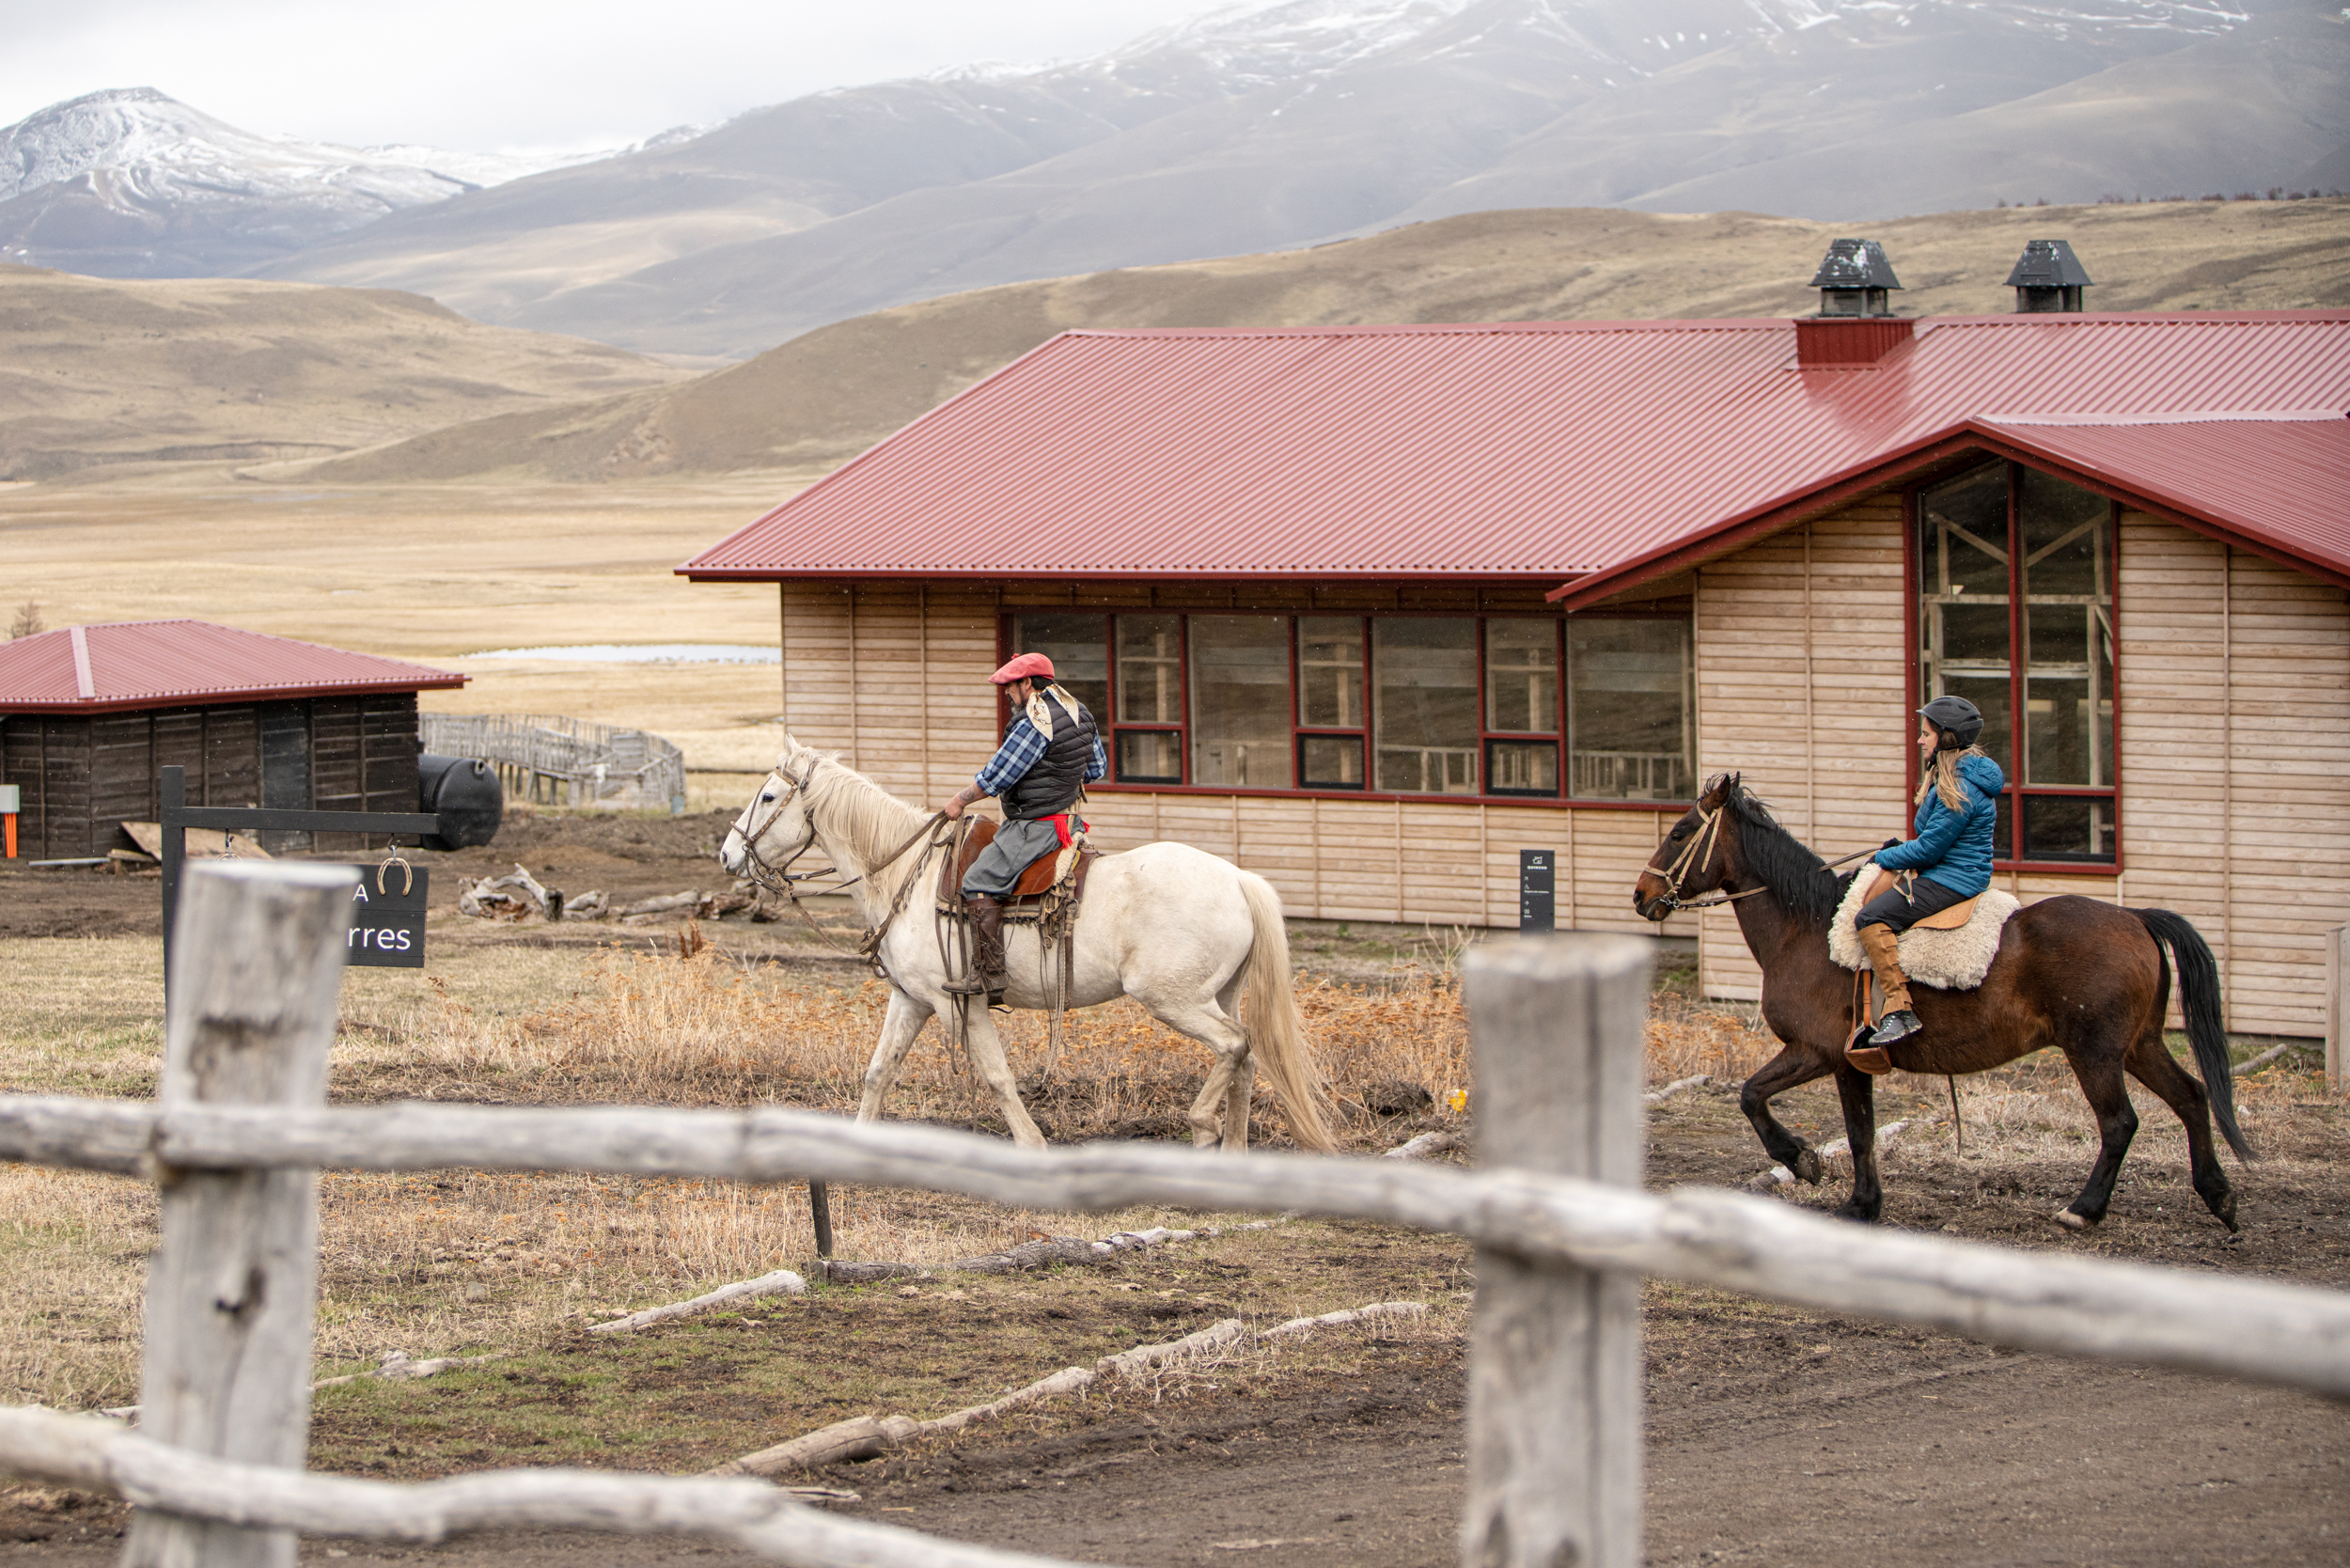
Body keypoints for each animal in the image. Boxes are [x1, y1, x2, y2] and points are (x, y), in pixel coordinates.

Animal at [719, 735, 1336, 1155]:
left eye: (768, 795)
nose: (727, 854)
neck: (905, 873)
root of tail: (1239, 879)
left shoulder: (956, 1001)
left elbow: (995, 1075)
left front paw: (1032, 1145)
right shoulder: (911, 999)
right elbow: (879, 1071)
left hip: (1173, 999)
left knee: (1235, 1046)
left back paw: (1204, 1128)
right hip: (1220, 993)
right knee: (1248, 1058)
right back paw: (1232, 1151)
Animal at [1632, 773, 2250, 1231]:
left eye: (1682, 832)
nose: (1641, 895)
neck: (1806, 928)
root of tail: (2135, 917)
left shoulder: (1822, 1053)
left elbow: (1760, 1098)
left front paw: (1807, 1165)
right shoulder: (1848, 1062)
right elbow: (1851, 1129)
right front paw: (1857, 1198)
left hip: (2095, 1053)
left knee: (2120, 1123)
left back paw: (2084, 1210)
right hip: (2140, 1046)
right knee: (2192, 1097)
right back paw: (2218, 1196)